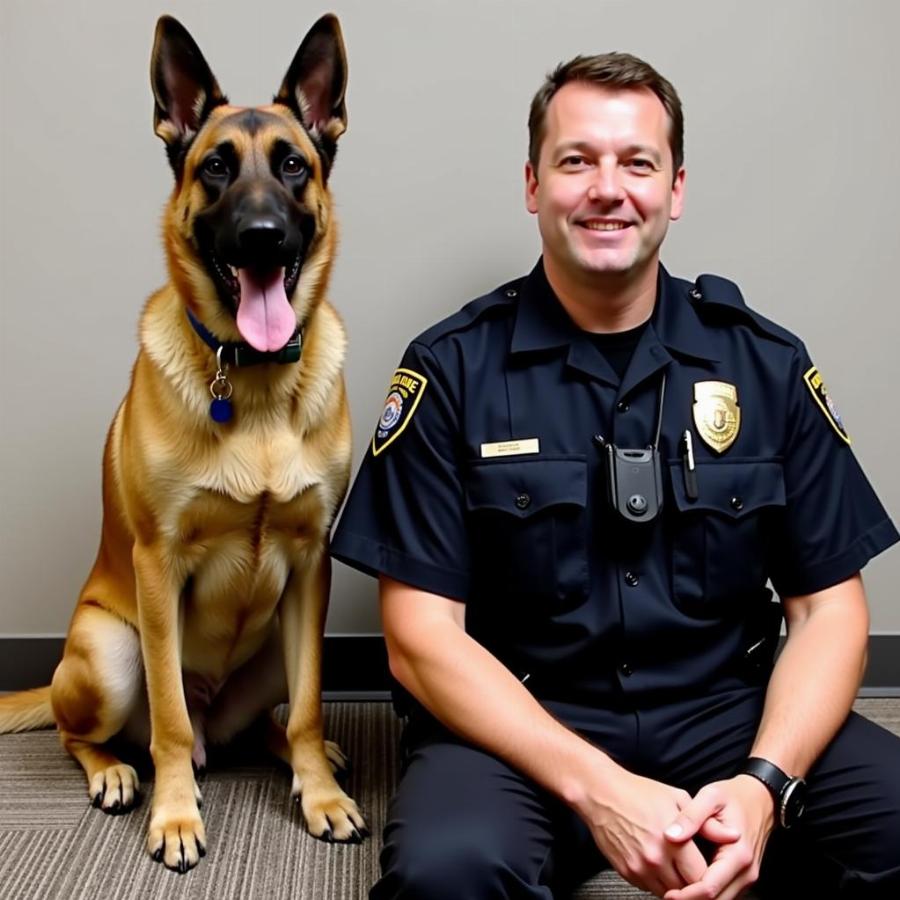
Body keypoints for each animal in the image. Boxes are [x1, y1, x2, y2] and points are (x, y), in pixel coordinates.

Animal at [0, 12, 366, 872]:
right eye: (216, 169)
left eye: (293, 165)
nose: (262, 237)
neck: (254, 386)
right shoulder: (157, 566)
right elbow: (166, 720)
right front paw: (174, 815)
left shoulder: (311, 566)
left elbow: (309, 707)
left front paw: (319, 794)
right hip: (108, 654)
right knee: (90, 733)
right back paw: (116, 773)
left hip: (274, 646)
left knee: (269, 721)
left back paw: (302, 756)